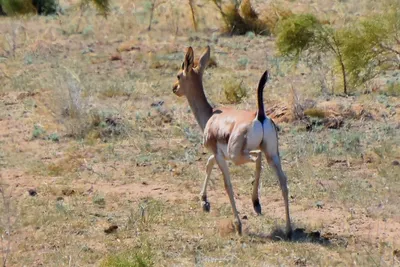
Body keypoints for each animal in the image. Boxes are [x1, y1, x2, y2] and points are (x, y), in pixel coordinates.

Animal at [173, 46, 292, 239]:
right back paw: (286, 227)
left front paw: (237, 225)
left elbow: (226, 184)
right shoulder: (219, 154)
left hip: (241, 157)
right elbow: (208, 164)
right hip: (272, 155)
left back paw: (254, 206)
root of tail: (259, 115)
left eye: (178, 75)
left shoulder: (221, 156)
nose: (174, 88)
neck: (211, 116)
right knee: (283, 181)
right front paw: (204, 201)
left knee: (257, 160)